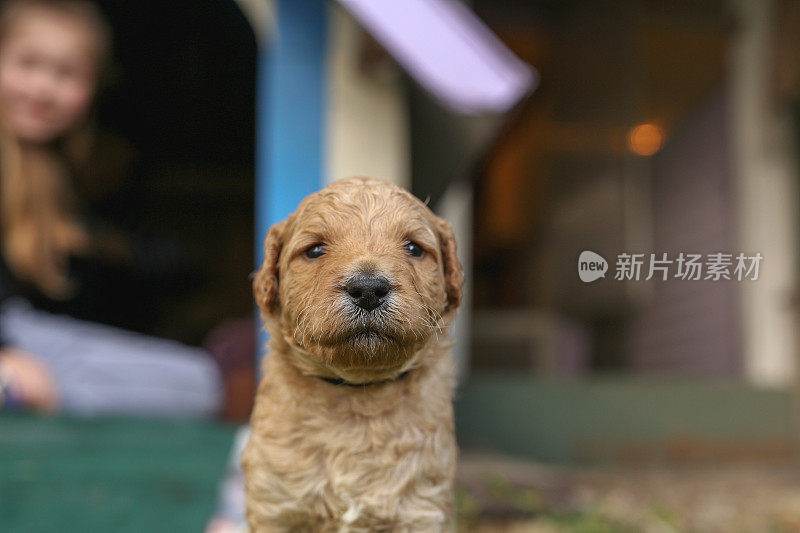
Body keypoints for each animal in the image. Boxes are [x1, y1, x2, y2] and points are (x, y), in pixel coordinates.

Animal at [242, 177, 462, 528]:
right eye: (315, 250)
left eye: (413, 248)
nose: (369, 289)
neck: (356, 400)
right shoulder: (275, 506)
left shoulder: (423, 508)